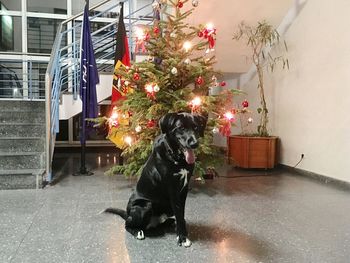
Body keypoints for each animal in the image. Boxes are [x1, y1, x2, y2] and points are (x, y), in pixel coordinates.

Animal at [105, 113, 206, 248]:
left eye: (196, 127)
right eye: (181, 128)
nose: (195, 143)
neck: (177, 157)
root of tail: (128, 214)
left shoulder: (184, 189)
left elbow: (181, 214)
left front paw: (182, 232)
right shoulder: (173, 190)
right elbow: (179, 214)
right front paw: (182, 238)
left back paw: (168, 223)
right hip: (144, 206)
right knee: (128, 225)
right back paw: (138, 232)